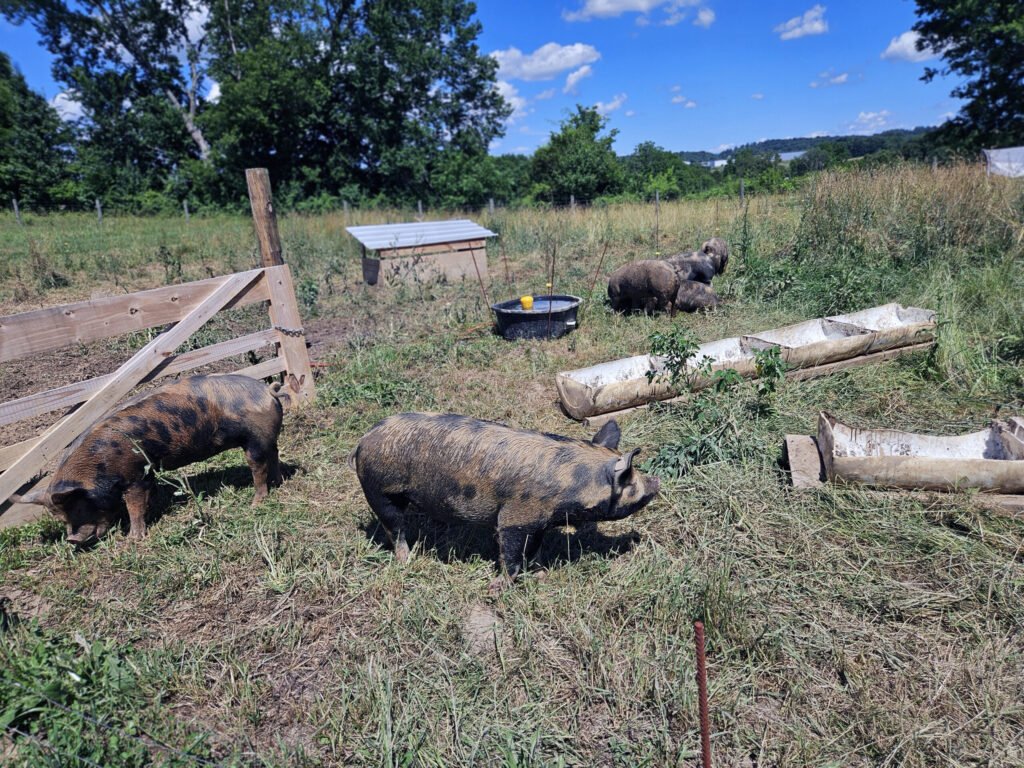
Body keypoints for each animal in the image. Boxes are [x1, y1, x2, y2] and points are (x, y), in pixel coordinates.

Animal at [11, 375, 286, 546]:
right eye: (60, 518)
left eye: (77, 507)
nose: (72, 540)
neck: (99, 466)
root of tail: (266, 390)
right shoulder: (148, 471)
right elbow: (149, 495)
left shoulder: (133, 475)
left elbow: (134, 505)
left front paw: (133, 540)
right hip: (267, 438)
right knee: (274, 454)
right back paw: (278, 482)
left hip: (255, 439)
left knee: (258, 467)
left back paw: (256, 503)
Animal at [349, 413, 660, 588]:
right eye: (630, 482)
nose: (656, 482)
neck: (570, 484)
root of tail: (363, 440)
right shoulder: (516, 515)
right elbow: (510, 551)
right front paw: (497, 586)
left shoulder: (539, 522)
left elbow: (532, 551)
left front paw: (540, 575)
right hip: (379, 492)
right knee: (395, 528)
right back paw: (406, 561)